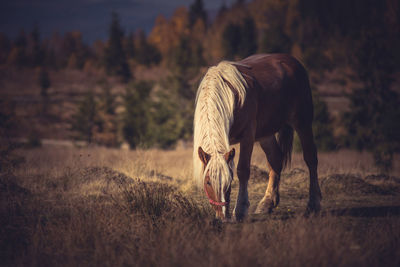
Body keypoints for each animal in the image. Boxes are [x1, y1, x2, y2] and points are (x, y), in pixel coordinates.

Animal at [193, 53, 322, 221]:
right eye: (208, 182)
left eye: (229, 181)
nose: (223, 217)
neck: (229, 95)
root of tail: (292, 62)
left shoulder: (248, 136)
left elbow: (243, 170)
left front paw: (240, 209)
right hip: (265, 135)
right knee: (275, 160)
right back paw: (267, 203)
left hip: (303, 122)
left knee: (310, 158)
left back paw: (314, 204)